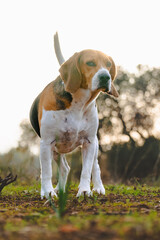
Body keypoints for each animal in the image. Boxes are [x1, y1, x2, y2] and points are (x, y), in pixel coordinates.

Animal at [29, 33, 118, 199]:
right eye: (90, 63)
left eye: (109, 64)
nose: (105, 77)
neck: (79, 102)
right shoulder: (46, 143)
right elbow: (46, 172)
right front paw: (48, 192)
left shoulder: (89, 142)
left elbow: (86, 170)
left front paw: (84, 191)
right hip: (55, 150)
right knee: (64, 168)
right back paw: (57, 189)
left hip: (95, 144)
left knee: (95, 166)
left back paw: (98, 187)